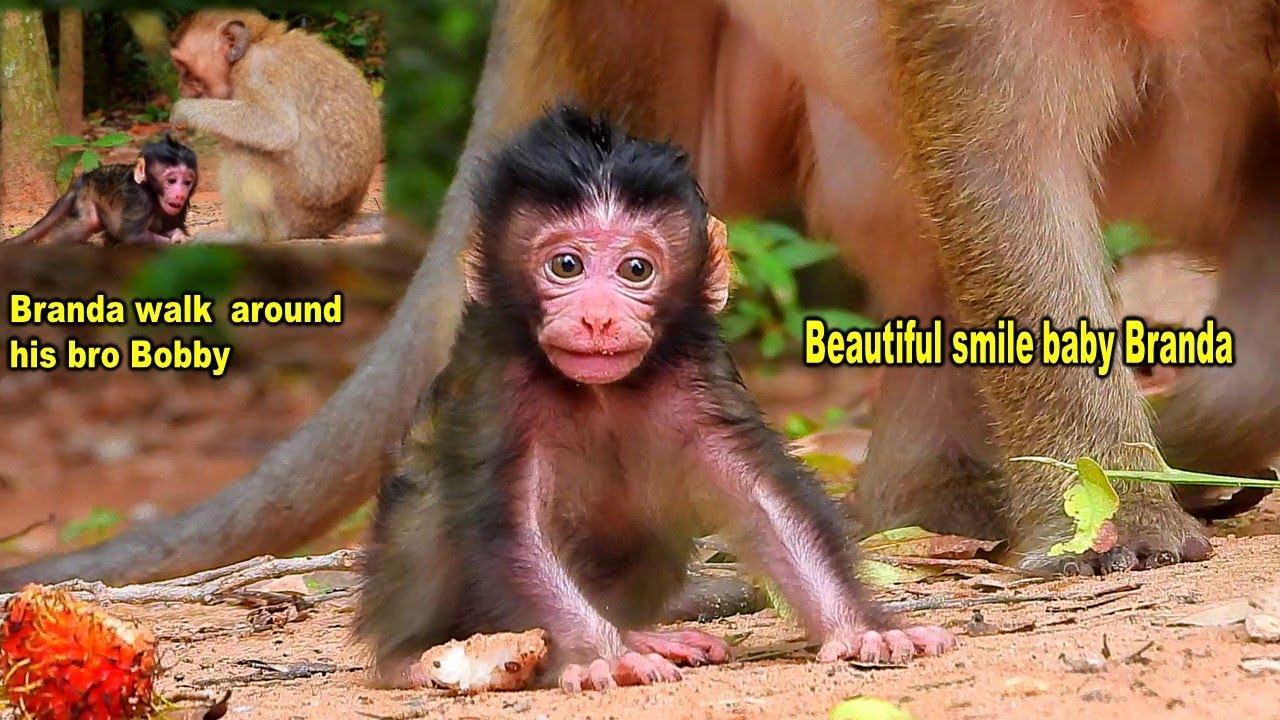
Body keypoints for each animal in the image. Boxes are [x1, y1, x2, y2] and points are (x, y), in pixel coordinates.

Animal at [2, 134, 197, 247]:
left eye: (187, 182)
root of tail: (80, 182)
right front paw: (177, 241)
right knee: (88, 223)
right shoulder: (139, 200)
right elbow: (131, 235)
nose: (180, 193)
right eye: (171, 181)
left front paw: (178, 234)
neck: (152, 193)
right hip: (86, 198)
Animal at [167, 10, 382, 243]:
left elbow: (278, 127)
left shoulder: (255, 69)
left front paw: (185, 110)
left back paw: (244, 235)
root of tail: (338, 220)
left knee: (244, 154)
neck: (257, 42)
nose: (179, 86)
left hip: (291, 215)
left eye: (181, 65)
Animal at [356, 106, 954, 692]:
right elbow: (512, 523)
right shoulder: (499, 381)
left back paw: (640, 634)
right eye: (566, 265)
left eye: (636, 269)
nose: (598, 318)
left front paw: (858, 629)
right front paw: (605, 657)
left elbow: (761, 496)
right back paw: (406, 657)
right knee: (428, 497)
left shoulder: (697, 374)